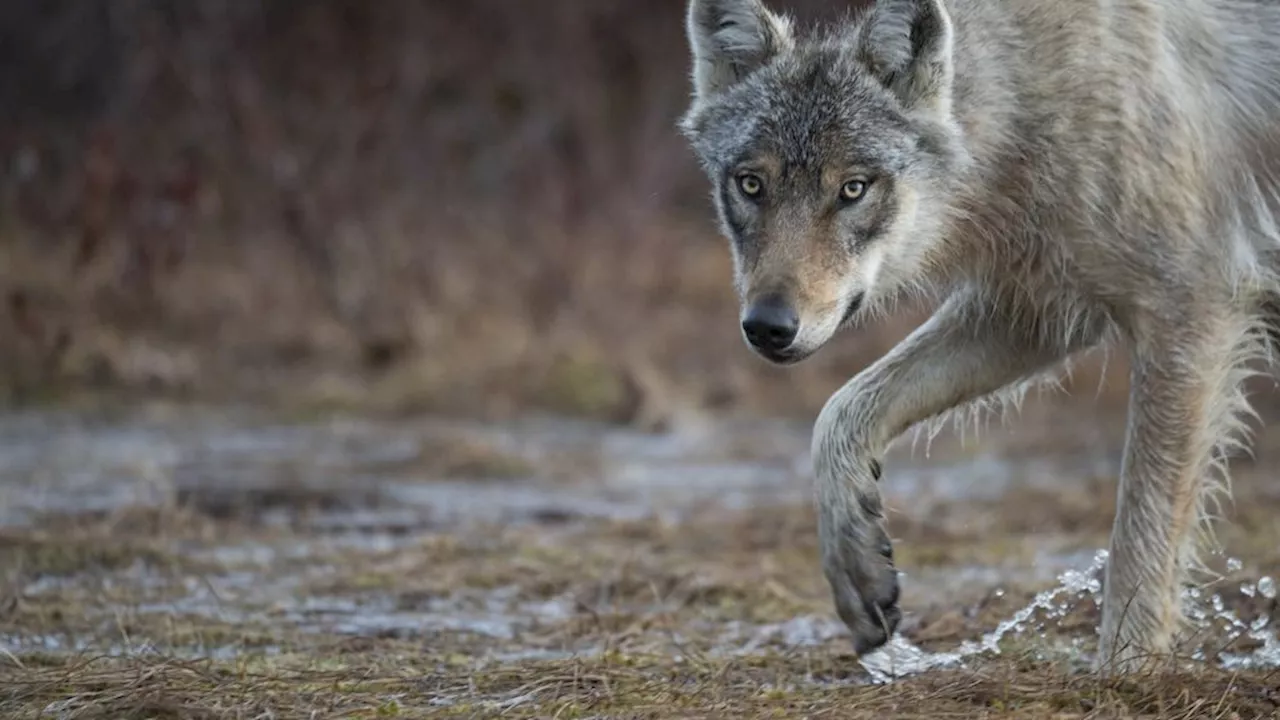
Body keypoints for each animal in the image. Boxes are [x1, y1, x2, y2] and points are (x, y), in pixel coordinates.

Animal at [686, 0, 1280, 666]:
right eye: (751, 184)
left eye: (853, 188)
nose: (768, 326)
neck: (1033, 99)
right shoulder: (1034, 311)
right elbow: (838, 413)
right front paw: (858, 569)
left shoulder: (1190, 312)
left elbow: (1139, 536)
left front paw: (1123, 672)